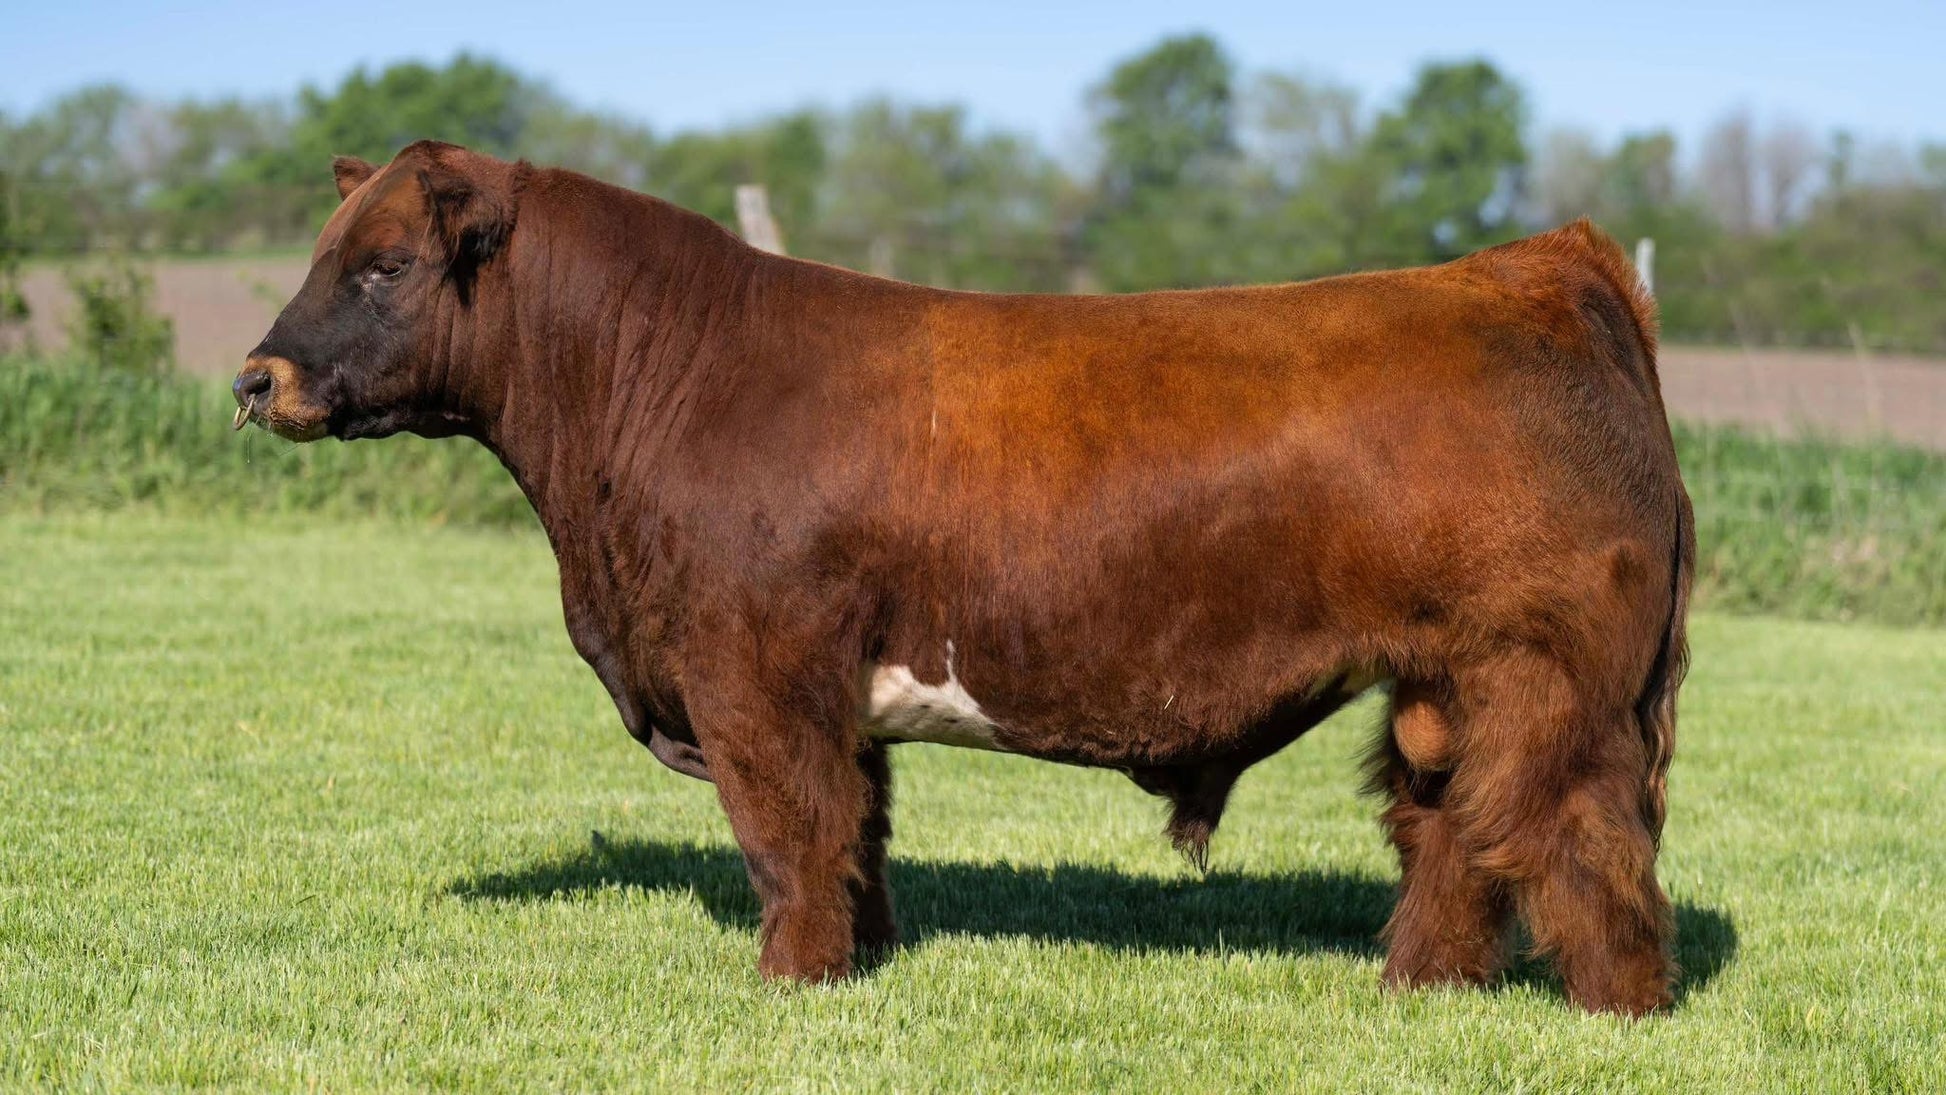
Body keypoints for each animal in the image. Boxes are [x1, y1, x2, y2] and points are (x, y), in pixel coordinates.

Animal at [235, 141, 1694, 1016]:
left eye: (381, 265)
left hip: (1545, 679)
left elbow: (788, 832)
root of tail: (1540, 265)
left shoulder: (752, 674)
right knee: (1452, 829)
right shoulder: (827, 696)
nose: (256, 377)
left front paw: (791, 979)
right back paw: (1415, 984)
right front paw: (860, 955)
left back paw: (1615, 1006)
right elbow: (857, 831)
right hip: (1441, 685)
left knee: (1576, 835)